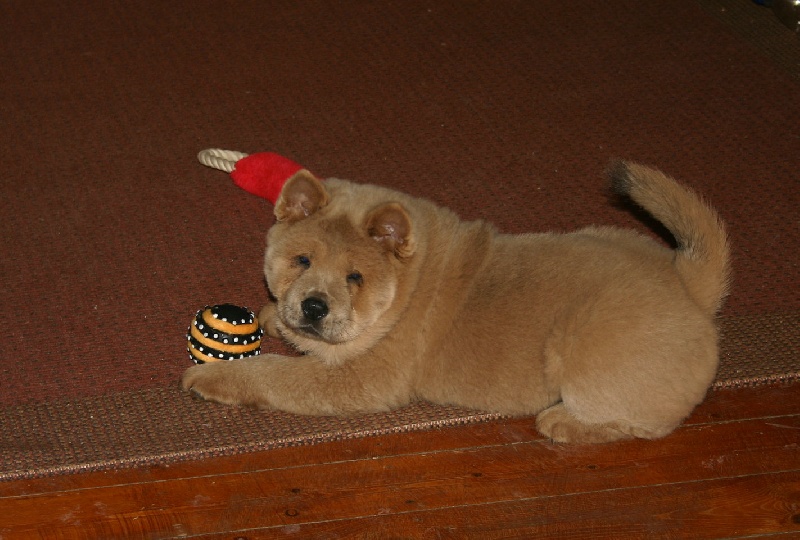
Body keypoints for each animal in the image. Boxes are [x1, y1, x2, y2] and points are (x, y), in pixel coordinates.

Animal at [183, 162, 732, 446]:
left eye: (355, 277)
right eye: (301, 259)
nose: (315, 306)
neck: (406, 290)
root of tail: (687, 282)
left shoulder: (364, 378)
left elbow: (274, 375)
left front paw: (216, 376)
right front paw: (275, 316)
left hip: (586, 351)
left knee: (643, 421)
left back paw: (563, 422)